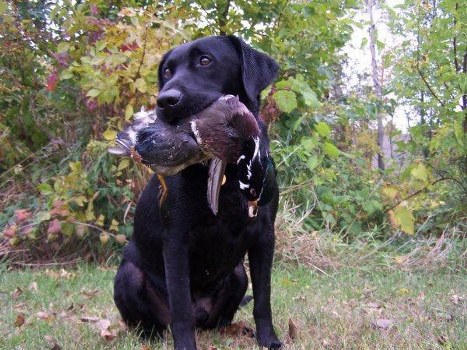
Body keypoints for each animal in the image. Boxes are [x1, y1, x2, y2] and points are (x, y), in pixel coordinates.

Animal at [114, 36, 282, 350]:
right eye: (167, 71)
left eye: (205, 60)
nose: (164, 100)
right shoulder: (176, 241)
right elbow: (180, 310)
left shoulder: (265, 235)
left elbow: (263, 298)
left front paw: (268, 340)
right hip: (129, 276)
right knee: (158, 323)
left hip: (238, 274)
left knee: (221, 318)